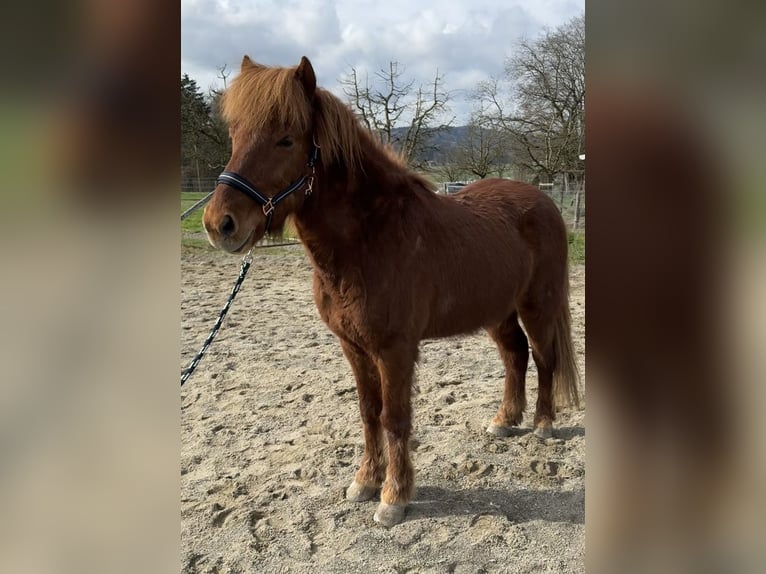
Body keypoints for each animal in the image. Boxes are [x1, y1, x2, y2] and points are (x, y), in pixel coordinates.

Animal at [202, 56, 580, 527]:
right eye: (235, 135)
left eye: (286, 140)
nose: (220, 224)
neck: (369, 239)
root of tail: (544, 202)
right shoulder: (353, 346)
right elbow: (369, 413)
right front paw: (365, 481)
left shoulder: (395, 349)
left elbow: (395, 417)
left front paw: (394, 497)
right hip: (498, 311)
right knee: (516, 356)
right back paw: (505, 420)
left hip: (537, 305)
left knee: (544, 358)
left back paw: (544, 425)